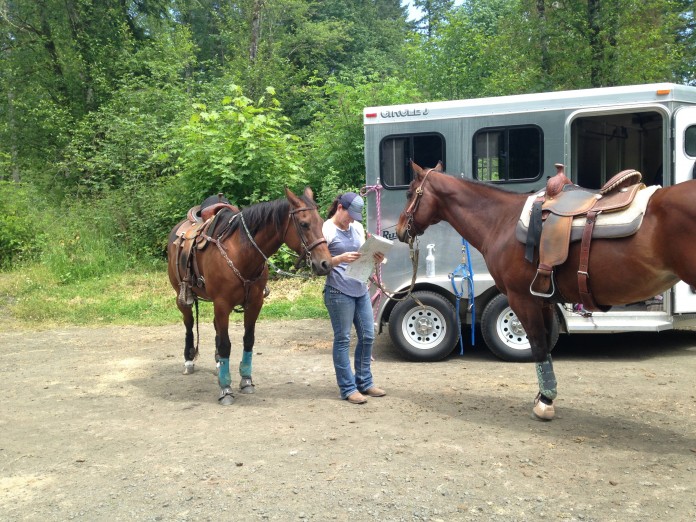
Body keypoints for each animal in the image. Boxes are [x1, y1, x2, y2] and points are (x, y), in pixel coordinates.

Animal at [168, 186, 332, 402]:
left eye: (321, 222)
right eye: (304, 224)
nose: (325, 264)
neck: (241, 252)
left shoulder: (254, 303)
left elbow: (248, 340)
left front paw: (246, 379)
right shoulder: (222, 304)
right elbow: (226, 344)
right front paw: (225, 389)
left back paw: (219, 362)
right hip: (182, 297)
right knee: (188, 324)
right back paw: (189, 360)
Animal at [396, 161, 696, 418]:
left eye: (410, 193)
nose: (399, 230)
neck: (501, 221)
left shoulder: (521, 298)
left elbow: (538, 345)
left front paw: (545, 401)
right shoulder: (544, 299)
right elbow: (547, 345)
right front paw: (544, 394)